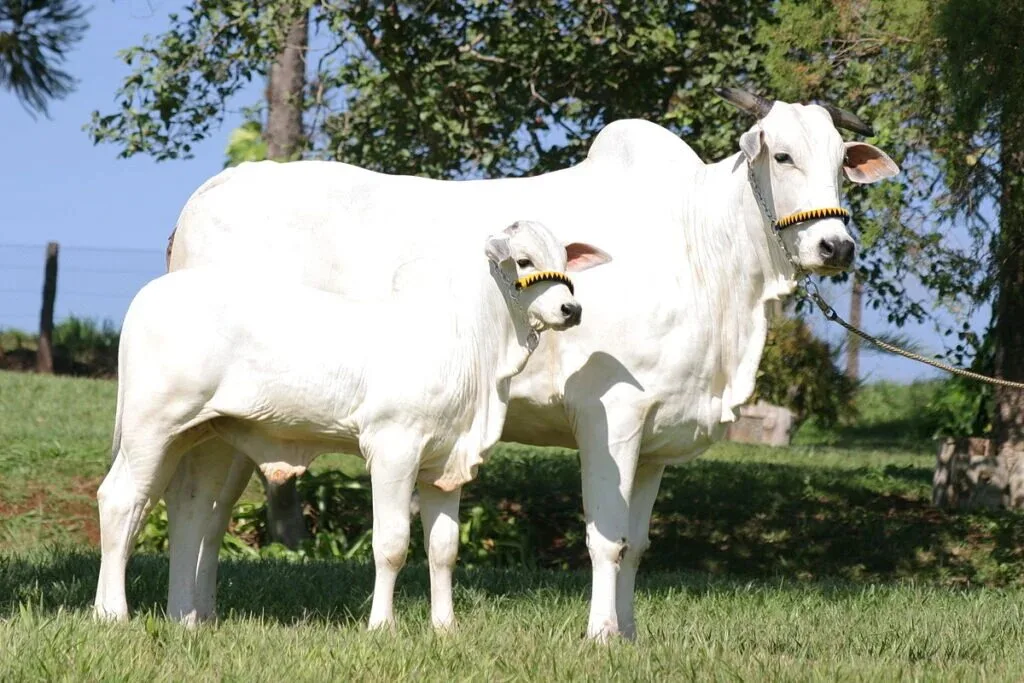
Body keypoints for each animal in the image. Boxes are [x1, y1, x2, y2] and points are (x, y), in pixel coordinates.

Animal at [94, 220, 610, 629]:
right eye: (523, 260)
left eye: (564, 259)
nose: (572, 310)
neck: (474, 349)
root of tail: (150, 295)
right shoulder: (393, 447)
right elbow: (392, 543)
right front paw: (382, 626)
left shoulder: (446, 462)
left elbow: (443, 548)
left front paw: (445, 628)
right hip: (150, 425)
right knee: (121, 500)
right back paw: (112, 614)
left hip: (205, 436)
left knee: (189, 510)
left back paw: (186, 618)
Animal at [163, 88, 899, 640]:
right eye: (783, 154)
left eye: (842, 162)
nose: (835, 245)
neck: (707, 261)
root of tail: (207, 195)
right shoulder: (611, 413)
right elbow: (605, 536)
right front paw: (599, 634)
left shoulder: (660, 438)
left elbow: (639, 543)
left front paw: (628, 633)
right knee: (193, 505)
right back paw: (187, 616)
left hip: (230, 423)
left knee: (206, 510)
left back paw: (199, 617)